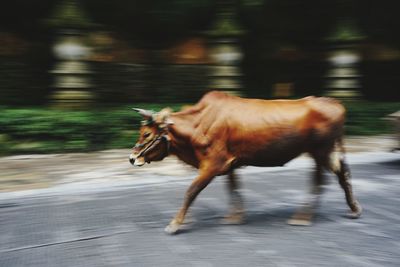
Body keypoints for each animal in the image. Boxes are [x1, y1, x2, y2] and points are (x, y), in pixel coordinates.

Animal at [129, 91, 362, 234]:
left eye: (147, 133)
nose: (132, 158)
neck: (198, 124)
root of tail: (334, 102)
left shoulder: (212, 165)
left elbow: (191, 192)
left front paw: (174, 224)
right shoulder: (229, 164)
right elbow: (234, 188)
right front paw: (235, 216)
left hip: (321, 151)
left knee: (325, 179)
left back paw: (304, 216)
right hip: (322, 152)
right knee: (339, 174)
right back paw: (351, 210)